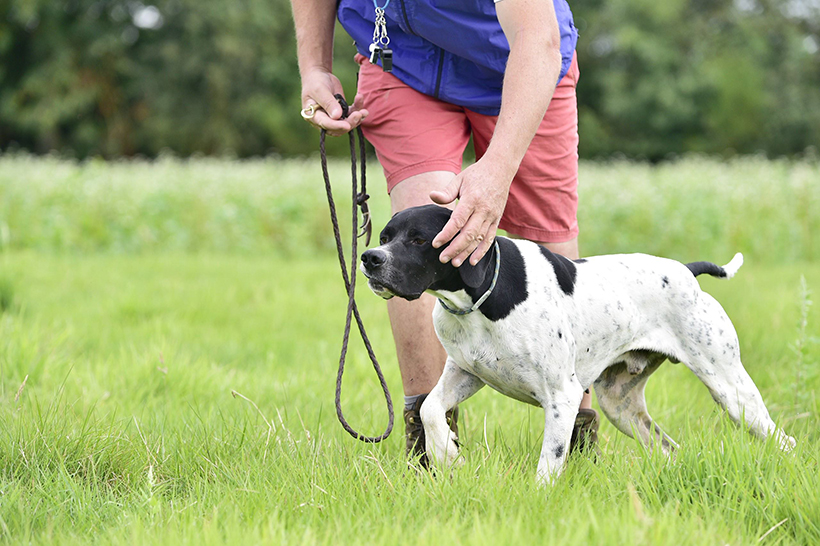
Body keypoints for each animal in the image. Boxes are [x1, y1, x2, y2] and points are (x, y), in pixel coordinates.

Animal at [360, 203, 796, 480]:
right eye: (384, 235)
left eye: (419, 240)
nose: (369, 258)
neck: (482, 297)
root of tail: (687, 271)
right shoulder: (467, 373)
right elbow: (430, 409)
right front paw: (447, 456)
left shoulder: (562, 397)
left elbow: (549, 464)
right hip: (621, 405)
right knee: (668, 448)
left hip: (731, 390)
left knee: (783, 439)